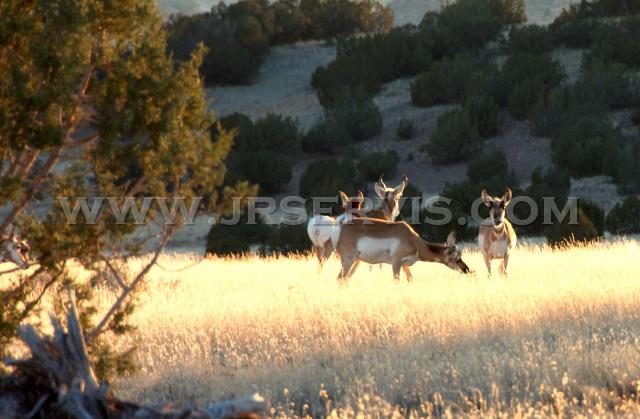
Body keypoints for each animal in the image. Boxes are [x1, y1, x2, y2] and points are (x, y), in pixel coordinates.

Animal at [336, 218, 470, 284]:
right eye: (457, 259)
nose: (467, 270)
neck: (415, 241)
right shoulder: (396, 263)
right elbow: (396, 281)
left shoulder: (404, 265)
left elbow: (410, 279)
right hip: (349, 260)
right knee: (340, 278)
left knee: (344, 279)